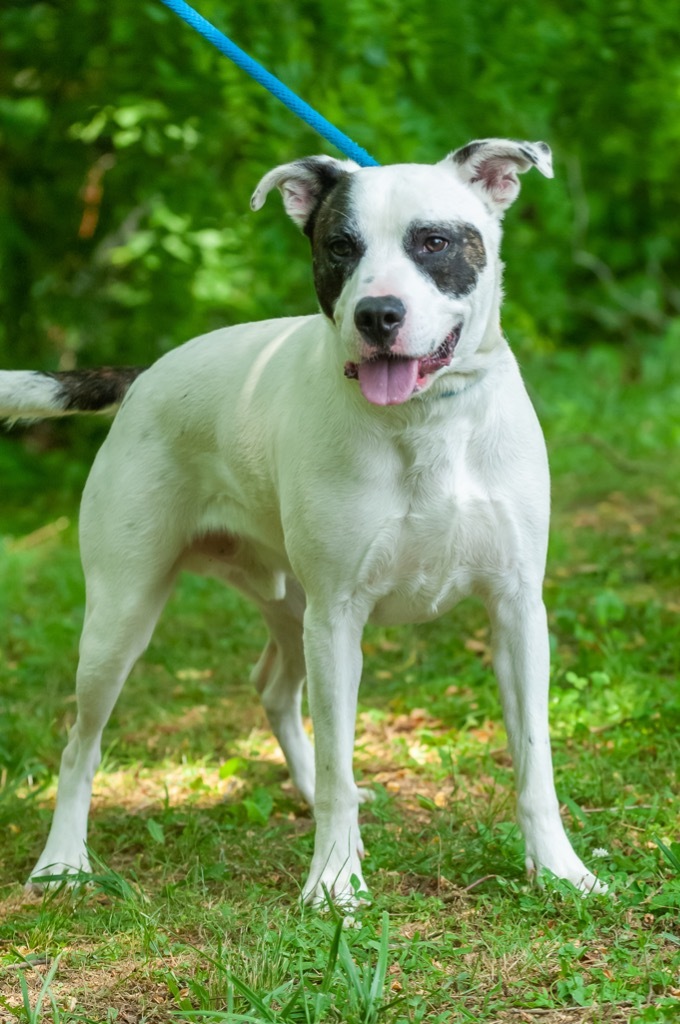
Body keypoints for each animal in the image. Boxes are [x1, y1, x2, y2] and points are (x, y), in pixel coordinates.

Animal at [0, 138, 602, 905]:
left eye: (434, 242)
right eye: (339, 246)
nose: (377, 314)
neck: (425, 422)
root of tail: (146, 377)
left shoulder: (518, 610)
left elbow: (534, 762)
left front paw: (559, 869)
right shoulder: (339, 617)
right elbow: (344, 763)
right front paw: (337, 883)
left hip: (290, 605)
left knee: (272, 686)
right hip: (122, 620)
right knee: (81, 743)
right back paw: (61, 862)